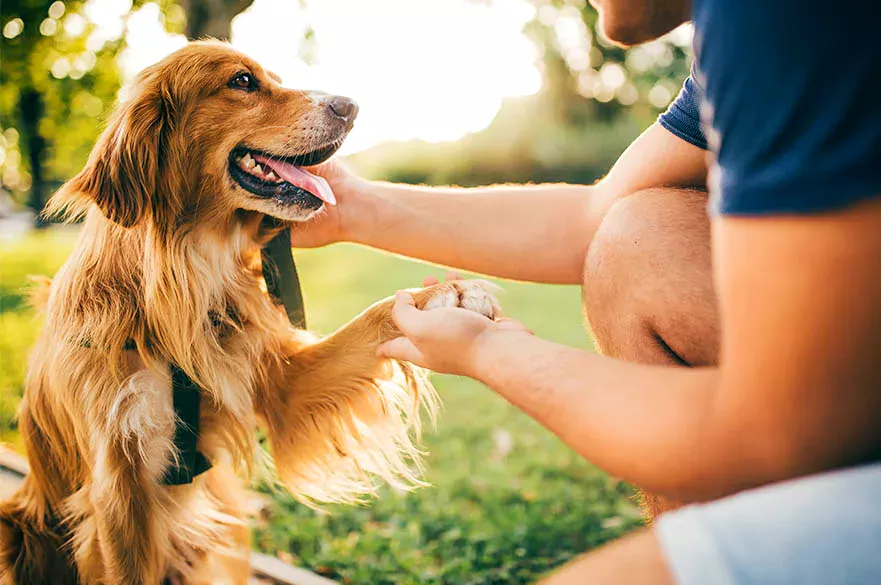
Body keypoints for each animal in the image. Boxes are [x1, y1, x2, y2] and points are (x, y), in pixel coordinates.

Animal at [0, 42, 496, 584]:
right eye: (242, 81)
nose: (351, 106)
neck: (182, 279)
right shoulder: (118, 490)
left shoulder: (278, 384)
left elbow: (371, 319)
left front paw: (448, 293)